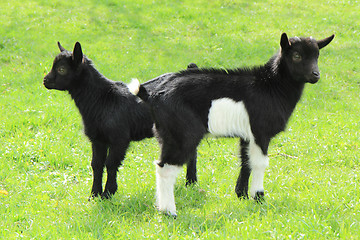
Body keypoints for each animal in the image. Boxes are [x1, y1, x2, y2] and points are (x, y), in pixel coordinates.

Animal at [43, 41, 198, 199]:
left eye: (62, 69)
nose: (45, 81)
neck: (103, 99)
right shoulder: (97, 139)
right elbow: (96, 164)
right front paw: (94, 194)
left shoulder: (119, 138)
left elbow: (111, 163)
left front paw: (108, 193)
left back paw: (191, 182)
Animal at [136, 32, 334, 218]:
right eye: (297, 56)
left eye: (317, 55)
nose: (315, 75)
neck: (270, 86)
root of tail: (152, 95)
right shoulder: (261, 132)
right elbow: (260, 163)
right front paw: (259, 197)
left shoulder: (247, 134)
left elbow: (246, 161)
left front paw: (242, 195)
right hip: (182, 134)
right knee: (166, 168)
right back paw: (170, 212)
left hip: (166, 133)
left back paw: (161, 208)